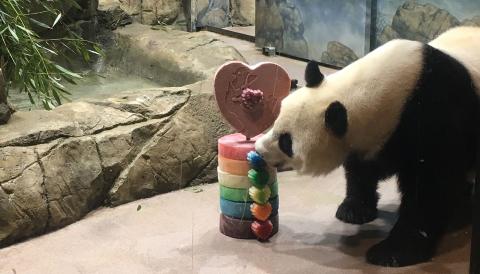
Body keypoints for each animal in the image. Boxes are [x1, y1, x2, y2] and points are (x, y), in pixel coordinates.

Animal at [255, 26, 480, 266]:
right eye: (276, 122)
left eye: (286, 142)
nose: (259, 149)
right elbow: (361, 170)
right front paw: (353, 210)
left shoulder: (436, 116)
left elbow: (429, 189)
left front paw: (391, 252)